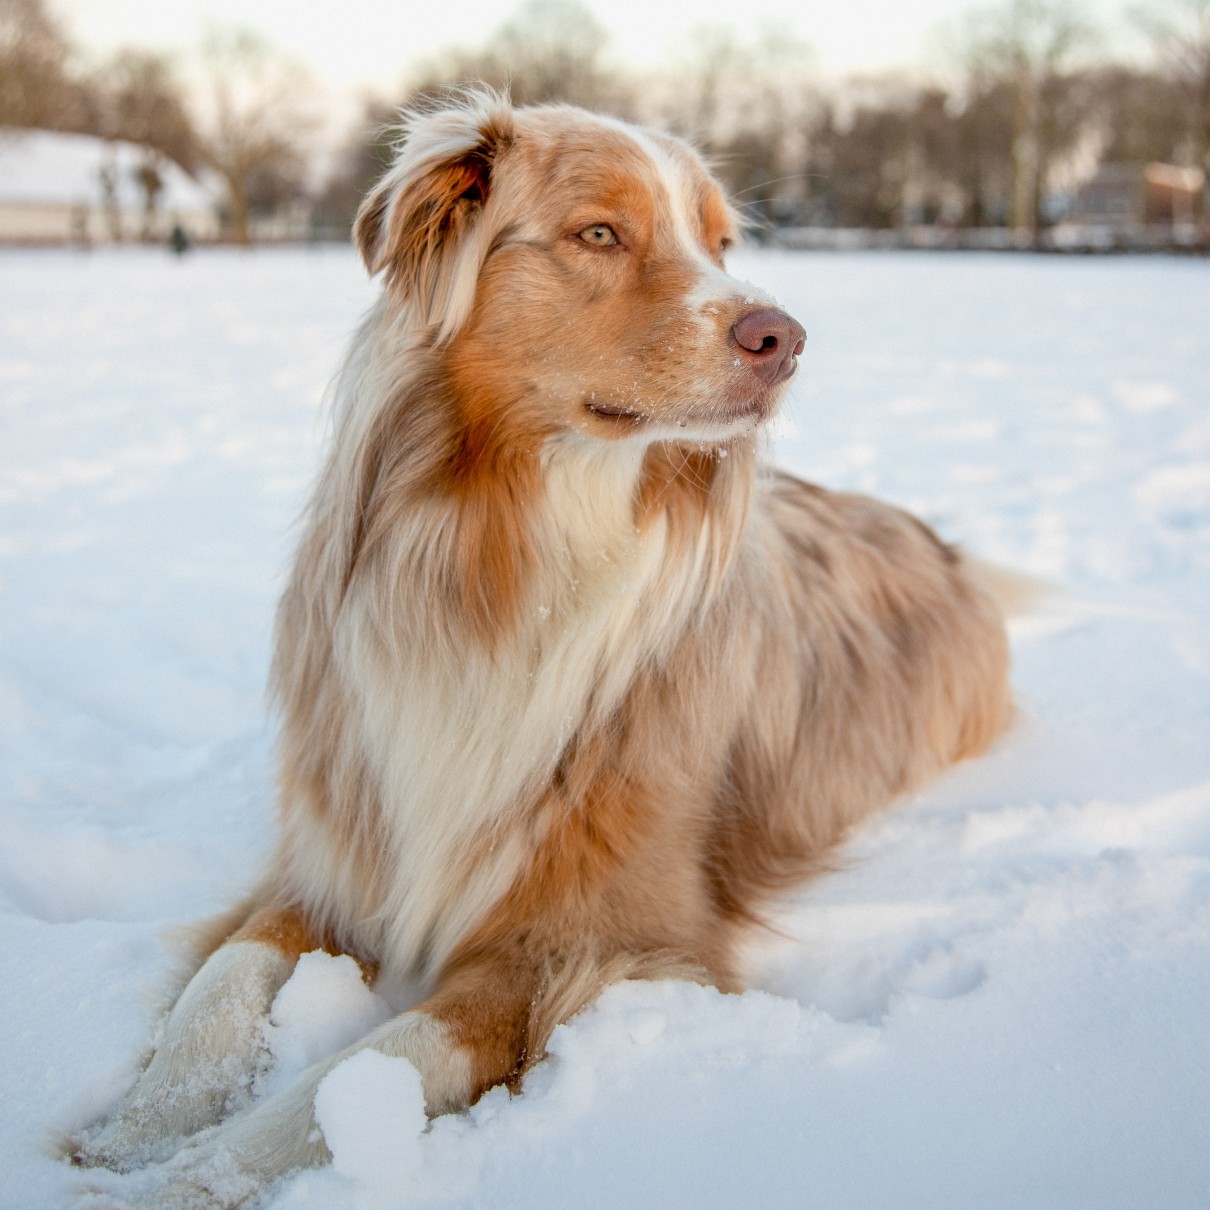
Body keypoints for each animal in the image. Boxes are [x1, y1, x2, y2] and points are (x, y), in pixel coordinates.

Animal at [68, 91, 1011, 1200]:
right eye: (599, 234)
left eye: (720, 243)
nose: (784, 337)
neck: (524, 555)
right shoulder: (338, 857)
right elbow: (219, 982)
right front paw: (136, 1134)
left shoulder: (596, 942)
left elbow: (377, 1062)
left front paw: (197, 1176)